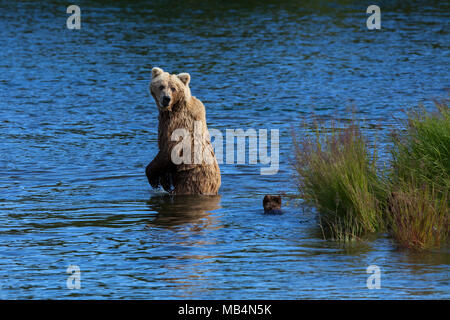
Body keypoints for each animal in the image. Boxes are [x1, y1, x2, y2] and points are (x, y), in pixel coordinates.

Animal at [145, 67, 221, 195]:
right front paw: (164, 182)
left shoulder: (178, 125)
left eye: (173, 88)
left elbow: (169, 150)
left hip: (191, 180)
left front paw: (154, 179)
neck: (173, 109)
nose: (166, 98)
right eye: (161, 86)